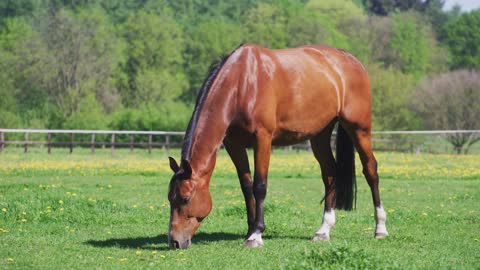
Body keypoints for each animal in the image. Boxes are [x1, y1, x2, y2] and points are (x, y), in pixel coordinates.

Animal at [167, 42, 388, 249]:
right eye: (170, 198)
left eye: (185, 199)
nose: (175, 242)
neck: (243, 83)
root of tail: (351, 60)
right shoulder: (233, 144)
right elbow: (246, 186)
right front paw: (250, 228)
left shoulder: (263, 139)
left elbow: (259, 186)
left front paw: (256, 234)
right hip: (319, 135)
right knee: (330, 174)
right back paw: (323, 230)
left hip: (359, 128)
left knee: (371, 170)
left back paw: (380, 228)